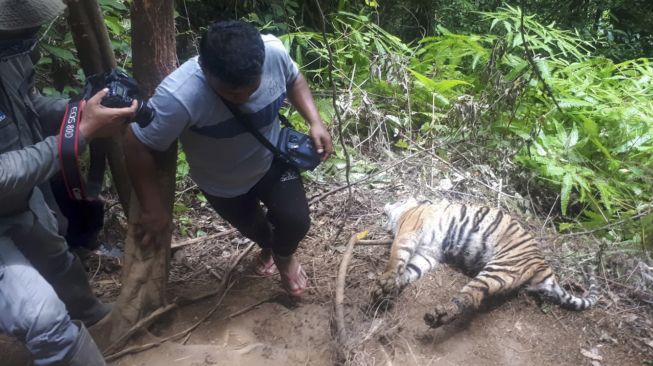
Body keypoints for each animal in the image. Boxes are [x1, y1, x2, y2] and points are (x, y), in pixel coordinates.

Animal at [374, 197, 600, 328]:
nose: (384, 210)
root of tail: (543, 264)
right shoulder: (427, 254)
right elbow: (409, 270)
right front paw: (390, 289)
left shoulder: (409, 231)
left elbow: (396, 258)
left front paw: (383, 285)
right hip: (501, 276)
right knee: (473, 297)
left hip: (499, 267)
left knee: (469, 296)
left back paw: (439, 316)